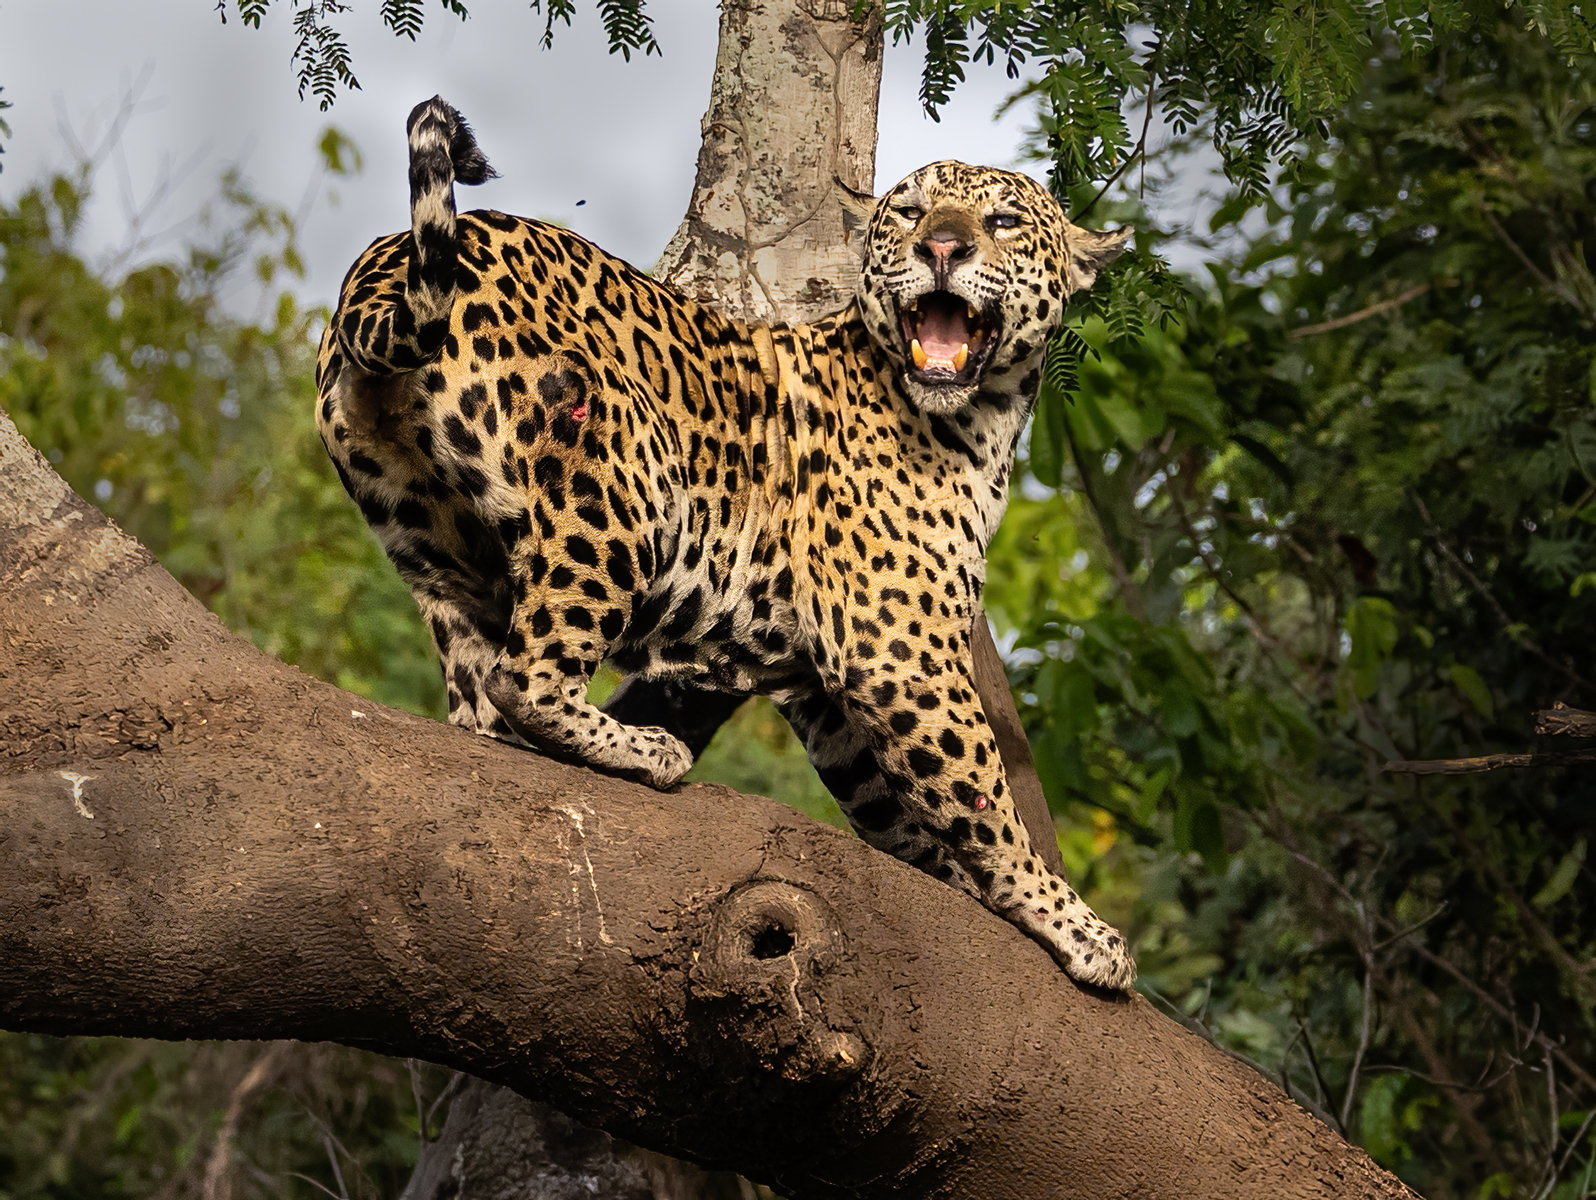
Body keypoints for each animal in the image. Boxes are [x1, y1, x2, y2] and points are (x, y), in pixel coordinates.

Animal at [316, 96, 1136, 989]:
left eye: (1002, 221)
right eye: (912, 214)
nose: (942, 249)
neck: (984, 423)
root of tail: (381, 266)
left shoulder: (829, 688)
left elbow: (893, 804)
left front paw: (964, 879)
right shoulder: (897, 654)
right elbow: (986, 798)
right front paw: (1074, 924)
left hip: (433, 548)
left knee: (478, 698)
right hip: (622, 472)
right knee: (525, 676)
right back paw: (647, 750)